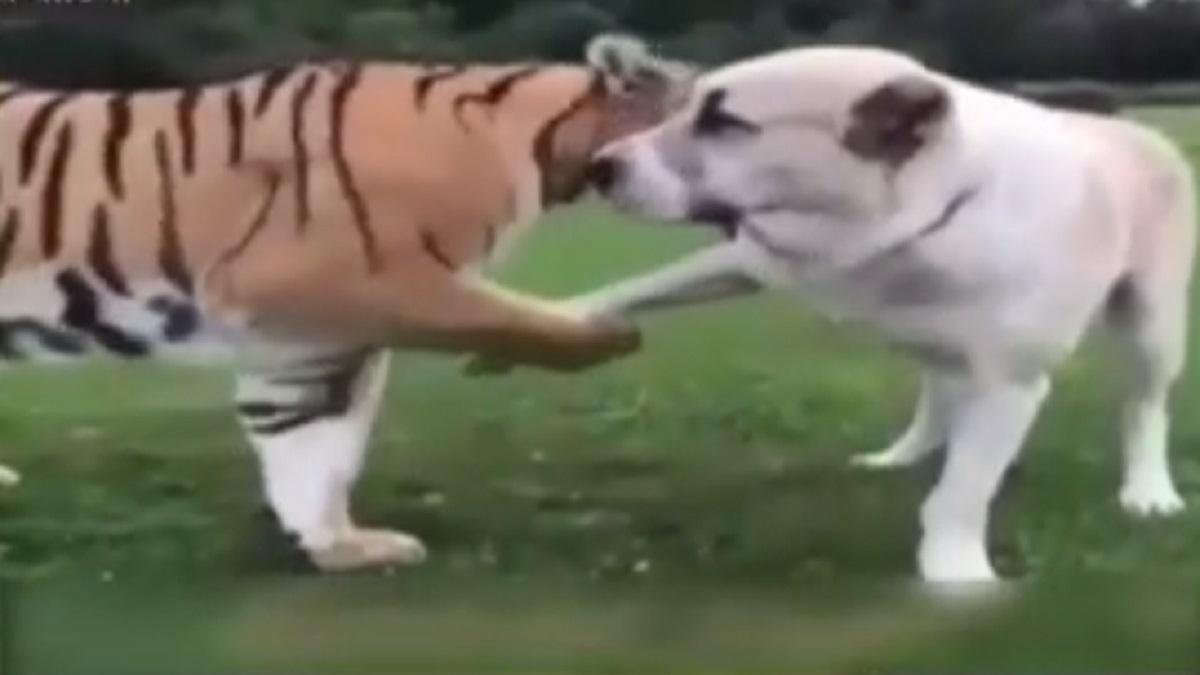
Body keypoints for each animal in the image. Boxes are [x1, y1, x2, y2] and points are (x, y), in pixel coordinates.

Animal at [0, 35, 695, 571]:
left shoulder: (305, 340)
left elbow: (310, 446)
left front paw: (341, 547)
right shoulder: (352, 280)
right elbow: (505, 319)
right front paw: (606, 333)